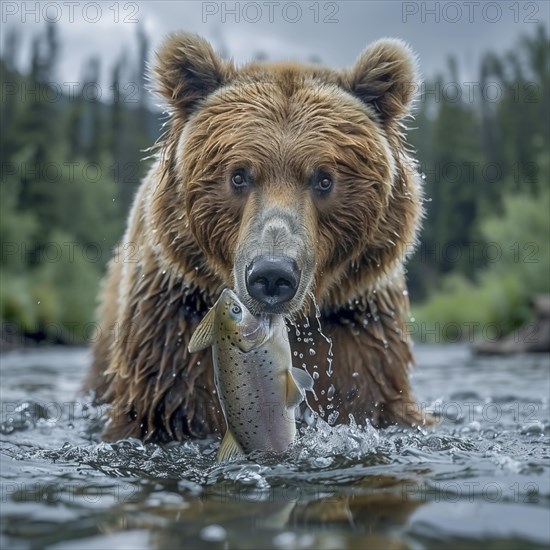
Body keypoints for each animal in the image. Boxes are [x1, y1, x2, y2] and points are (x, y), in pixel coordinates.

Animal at [85, 32, 432, 444]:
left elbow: (370, 400)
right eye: (238, 175)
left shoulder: (359, 324)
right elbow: (166, 407)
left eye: (324, 179)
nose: (272, 274)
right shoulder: (175, 318)